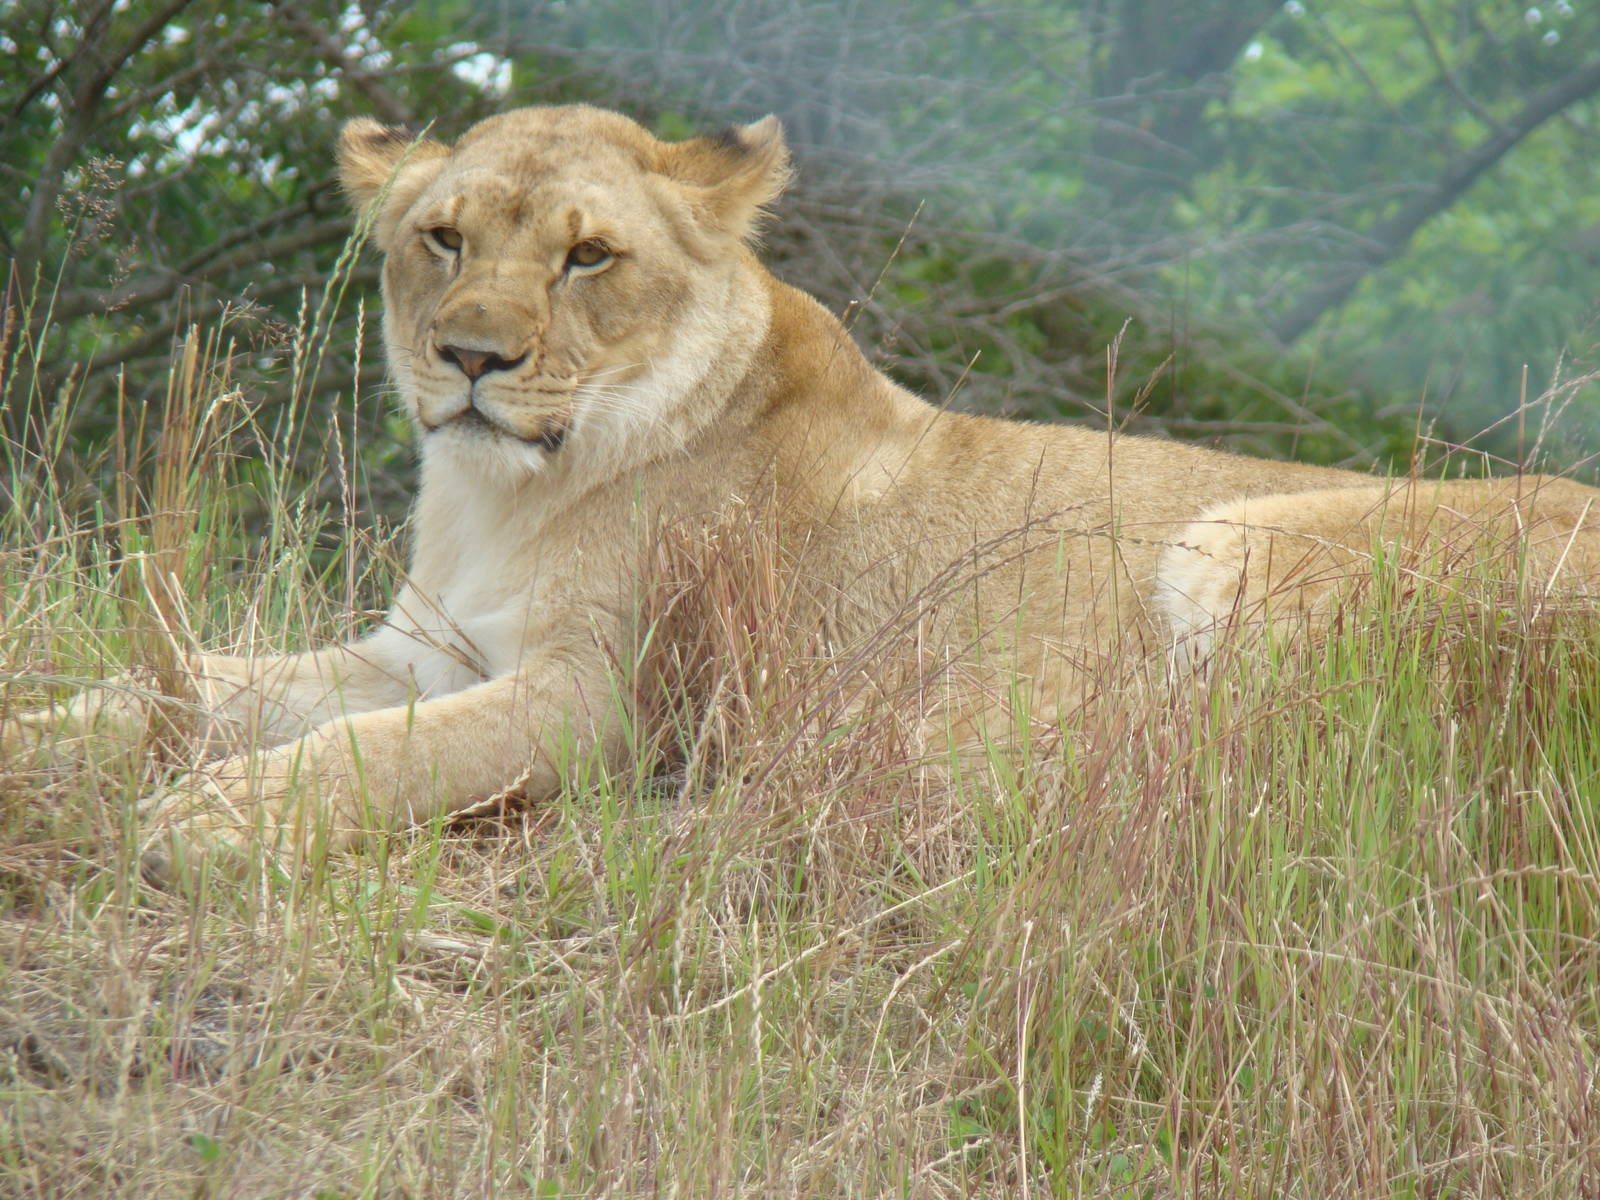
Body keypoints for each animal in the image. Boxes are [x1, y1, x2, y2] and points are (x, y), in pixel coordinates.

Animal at [8, 104, 1600, 874]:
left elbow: (379, 757)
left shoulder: (602, 700)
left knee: (1211, 800)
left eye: (587, 256)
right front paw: (53, 741)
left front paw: (218, 824)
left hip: (1242, 543)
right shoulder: (413, 651)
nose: (469, 359)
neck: (501, 496)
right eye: (442, 237)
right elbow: (183, 686)